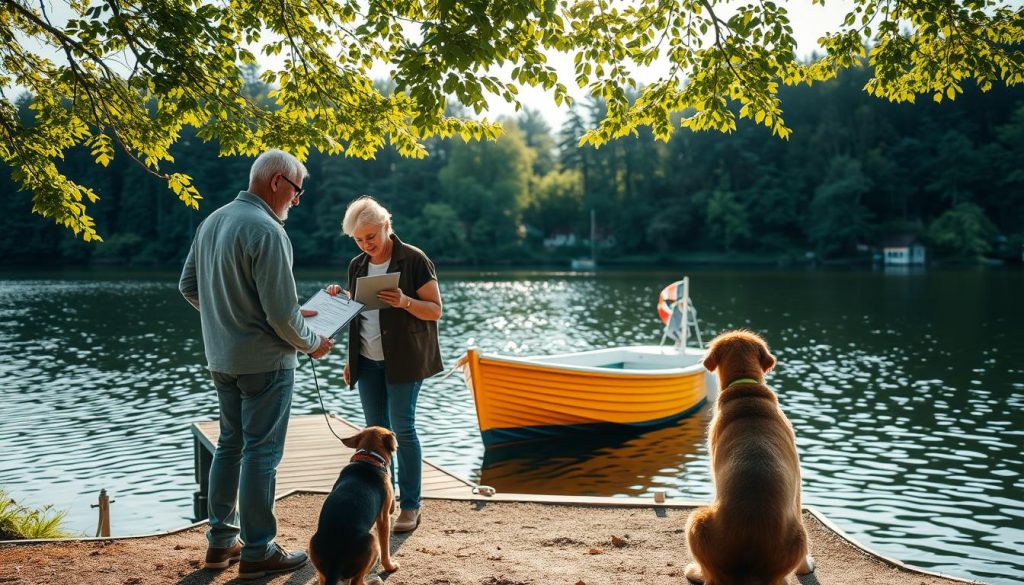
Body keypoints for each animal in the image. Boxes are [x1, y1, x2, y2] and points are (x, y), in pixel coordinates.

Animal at [307, 426, 399, 585]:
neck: (368, 460)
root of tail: (335, 564)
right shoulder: (384, 519)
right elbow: (386, 549)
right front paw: (390, 566)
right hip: (373, 543)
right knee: (357, 581)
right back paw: (374, 581)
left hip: (314, 548)